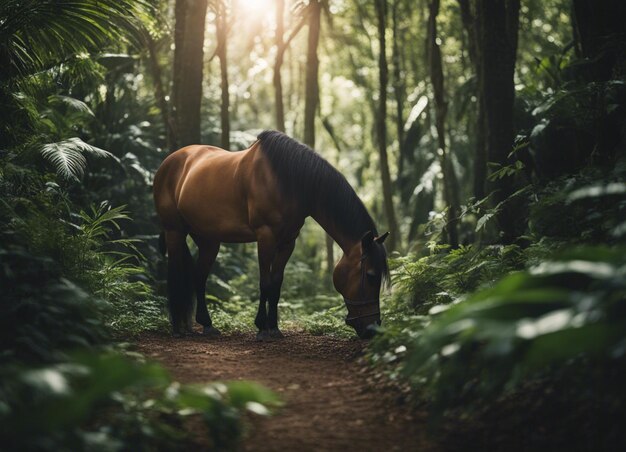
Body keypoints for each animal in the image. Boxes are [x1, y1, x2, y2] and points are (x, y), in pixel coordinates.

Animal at [152, 130, 386, 340]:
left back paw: (206, 325)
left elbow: (276, 284)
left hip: (209, 240)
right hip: (175, 232)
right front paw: (261, 328)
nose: (373, 329)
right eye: (371, 276)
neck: (287, 181)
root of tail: (169, 162)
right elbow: (265, 283)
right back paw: (177, 328)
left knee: (199, 277)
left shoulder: (288, 242)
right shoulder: (265, 237)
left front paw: (273, 327)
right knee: (175, 274)